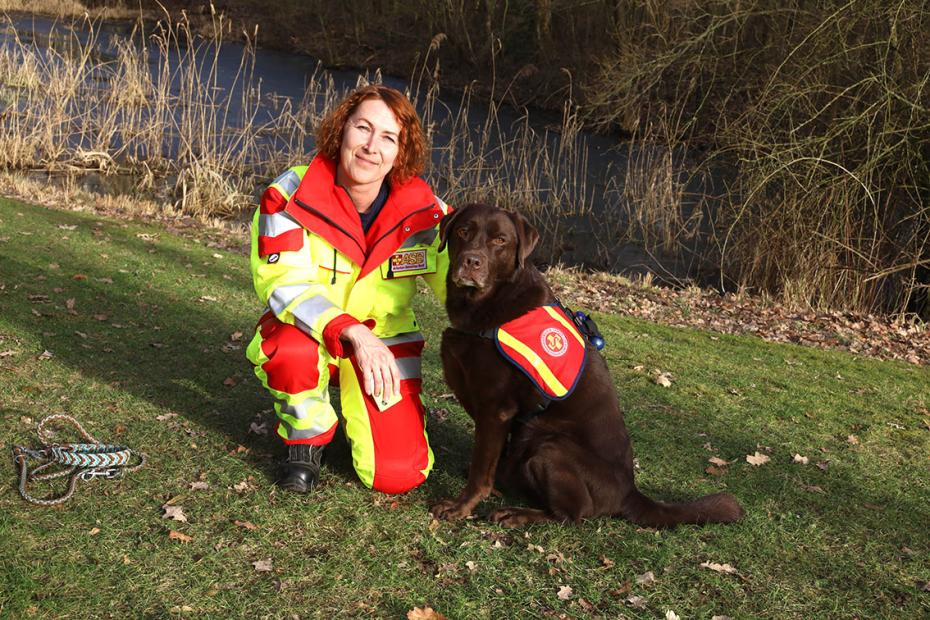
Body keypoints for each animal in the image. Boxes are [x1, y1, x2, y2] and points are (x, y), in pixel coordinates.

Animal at [432, 205, 744, 528]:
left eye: (500, 240)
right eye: (463, 231)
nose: (471, 261)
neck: (486, 304)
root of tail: (630, 493)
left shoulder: (496, 408)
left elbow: (481, 470)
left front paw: (461, 506)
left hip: (549, 446)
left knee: (573, 513)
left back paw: (517, 513)